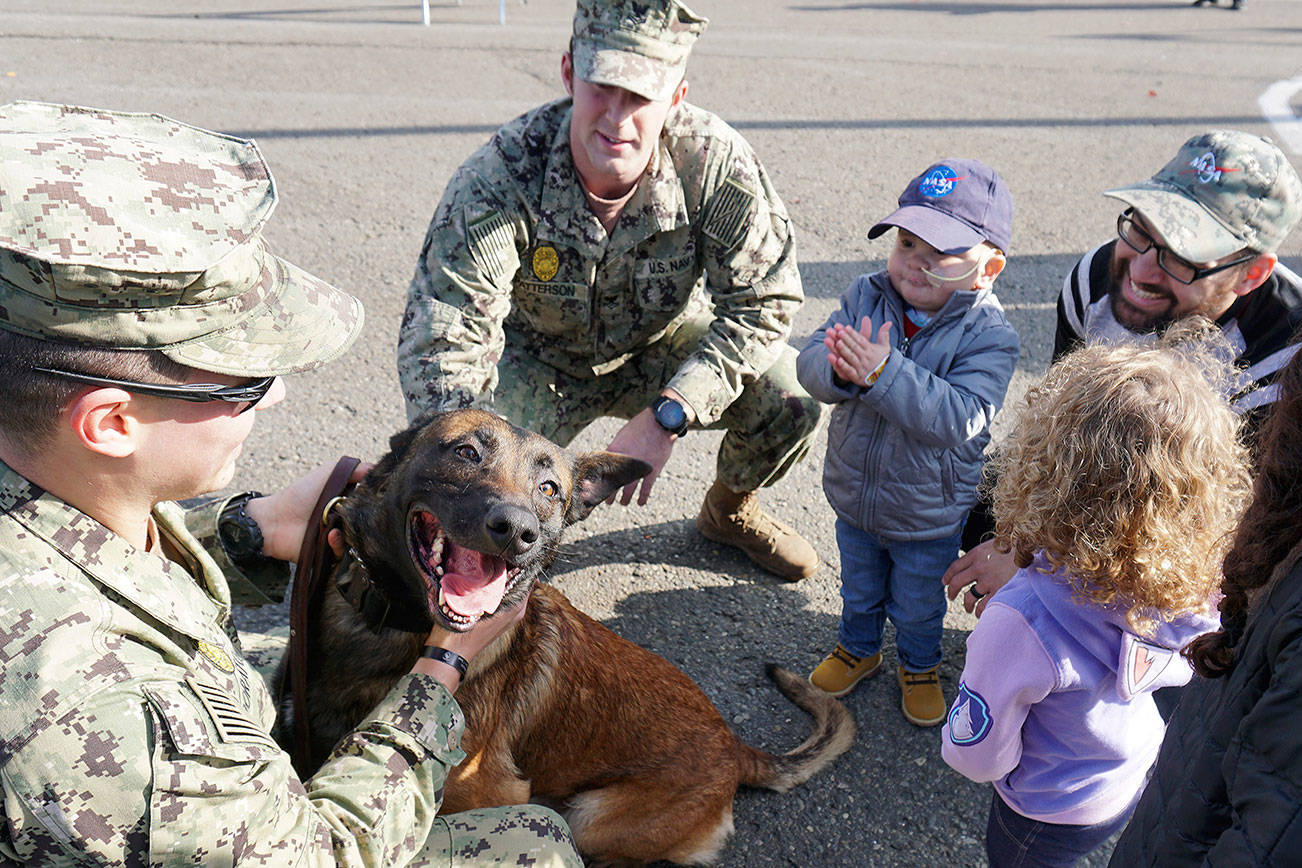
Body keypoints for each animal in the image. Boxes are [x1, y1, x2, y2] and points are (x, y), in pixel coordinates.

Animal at [277, 411, 854, 864]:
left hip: (590, 818)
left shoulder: (494, 793)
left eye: (549, 490)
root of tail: (735, 747)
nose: (517, 530)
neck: (394, 624)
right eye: (465, 452)